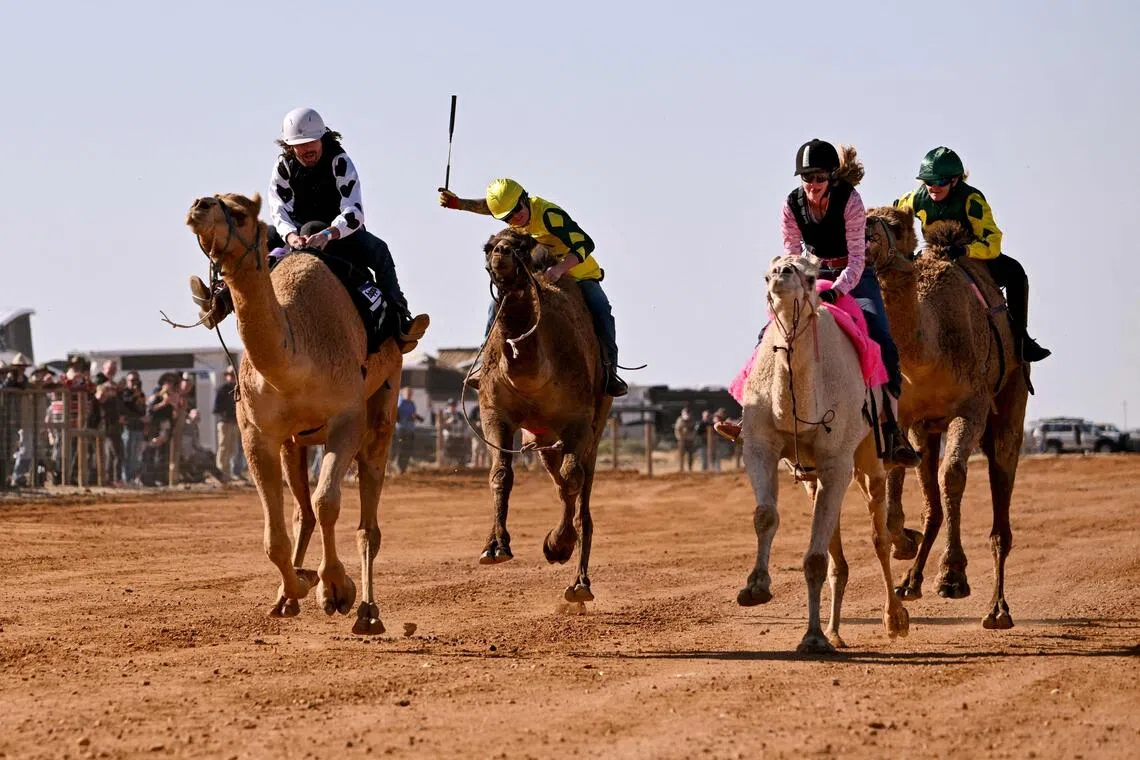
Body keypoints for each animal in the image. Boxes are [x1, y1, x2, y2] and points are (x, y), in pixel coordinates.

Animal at [185, 192, 418, 635]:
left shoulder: (346, 419)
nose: (199, 206)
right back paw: (289, 597)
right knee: (302, 514)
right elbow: (274, 535)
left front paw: (337, 590)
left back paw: (367, 612)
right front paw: (300, 585)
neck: (296, 357)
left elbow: (328, 502)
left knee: (367, 520)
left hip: (385, 401)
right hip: (294, 442)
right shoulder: (256, 433)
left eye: (240, 212)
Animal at [475, 229, 612, 604]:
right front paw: (495, 547)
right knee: (560, 481)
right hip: (544, 438)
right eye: (487, 246)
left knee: (579, 487)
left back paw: (578, 582)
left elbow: (573, 478)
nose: (501, 253)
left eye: (521, 245)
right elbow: (500, 474)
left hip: (595, 424)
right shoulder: (494, 413)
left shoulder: (578, 420)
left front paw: (558, 545)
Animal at [737, 253, 908, 654]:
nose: (781, 275)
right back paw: (835, 630)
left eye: (812, 278)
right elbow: (765, 515)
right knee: (836, 547)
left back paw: (894, 619)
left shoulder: (836, 462)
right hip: (813, 476)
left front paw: (812, 638)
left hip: (870, 457)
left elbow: (815, 558)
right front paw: (755, 587)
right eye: (767, 274)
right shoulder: (760, 447)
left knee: (880, 536)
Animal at [865, 206, 1027, 629]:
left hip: (1011, 401)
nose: (867, 229)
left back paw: (998, 609)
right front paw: (903, 542)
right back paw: (910, 582)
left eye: (898, 224)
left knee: (1000, 507)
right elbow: (896, 475)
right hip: (929, 429)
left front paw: (953, 578)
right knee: (932, 505)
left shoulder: (970, 409)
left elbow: (952, 475)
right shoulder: (906, 416)